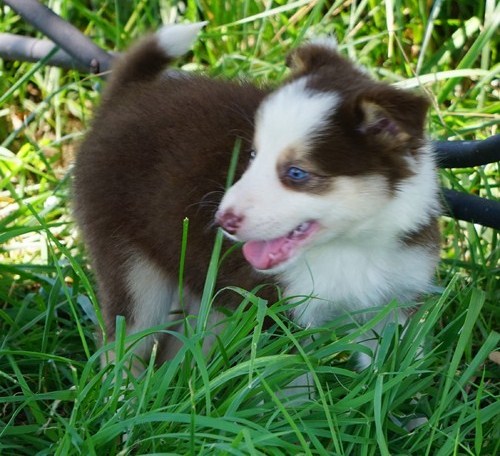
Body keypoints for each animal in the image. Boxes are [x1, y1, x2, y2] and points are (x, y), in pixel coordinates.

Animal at [72, 22, 440, 370]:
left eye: (296, 173)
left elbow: (397, 373)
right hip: (131, 267)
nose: (222, 221)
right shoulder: (279, 315)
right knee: (122, 345)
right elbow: (294, 381)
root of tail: (127, 96)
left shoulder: (396, 302)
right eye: (252, 155)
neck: (352, 245)